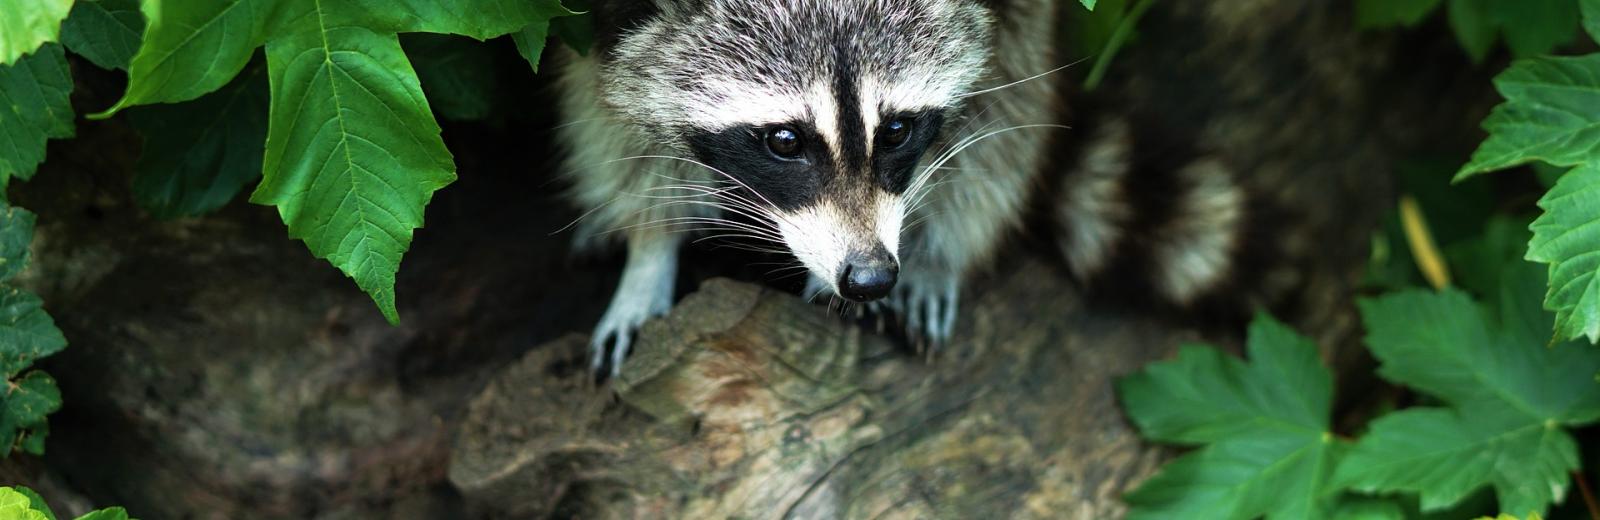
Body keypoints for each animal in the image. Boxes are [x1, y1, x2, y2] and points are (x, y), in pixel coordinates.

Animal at [563, 0, 1248, 374]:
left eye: (896, 131)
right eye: (784, 141)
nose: (870, 276)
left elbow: (998, 110)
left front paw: (934, 251)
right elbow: (611, 117)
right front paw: (650, 251)